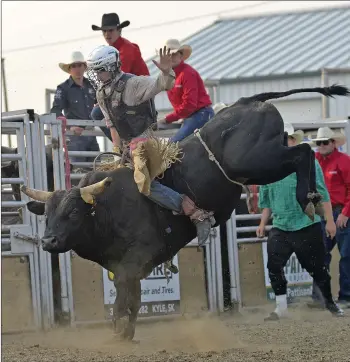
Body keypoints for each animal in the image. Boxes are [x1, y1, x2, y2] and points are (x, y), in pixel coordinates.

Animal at [20, 85, 348, 340]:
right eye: (47, 215)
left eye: (73, 213)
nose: (48, 241)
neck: (107, 207)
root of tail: (247, 102)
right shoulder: (127, 266)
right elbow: (132, 297)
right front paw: (126, 332)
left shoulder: (135, 258)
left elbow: (125, 297)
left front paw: (118, 330)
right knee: (303, 153)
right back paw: (311, 198)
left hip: (254, 161)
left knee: (303, 151)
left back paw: (307, 197)